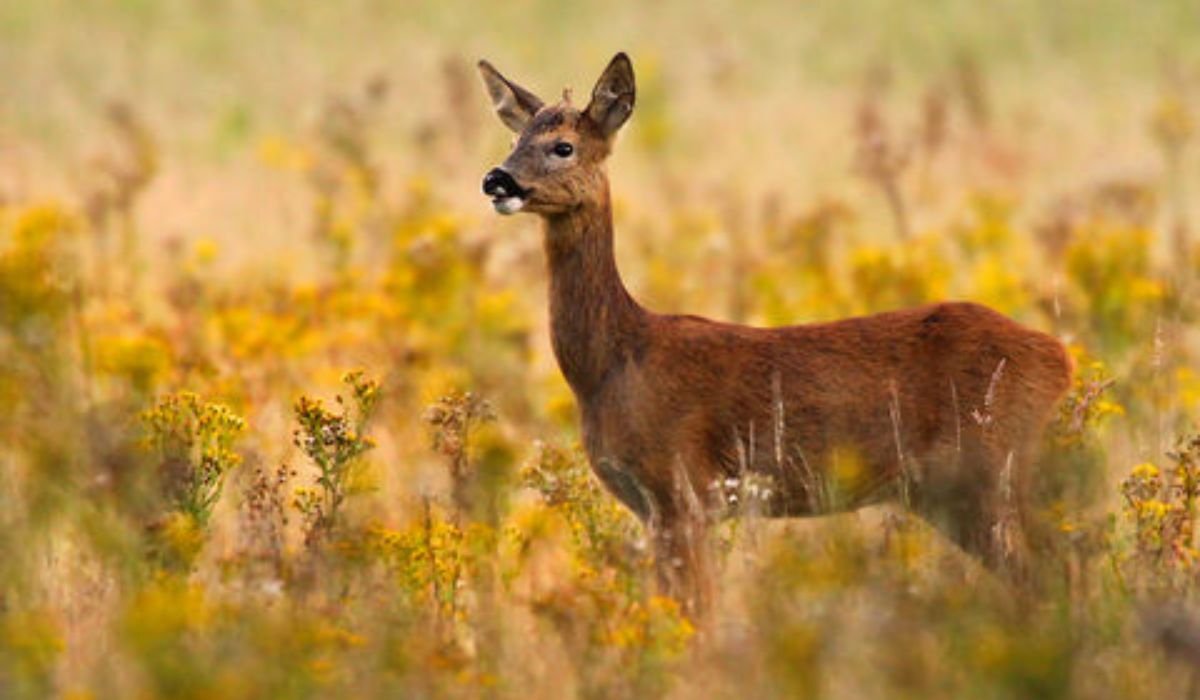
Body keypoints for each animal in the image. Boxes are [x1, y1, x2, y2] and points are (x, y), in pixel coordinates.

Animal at [477, 53, 1073, 615]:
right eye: (513, 139)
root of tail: (1060, 358)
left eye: (563, 146)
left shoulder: (683, 488)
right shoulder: (658, 507)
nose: (497, 180)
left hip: (993, 469)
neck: (615, 361)